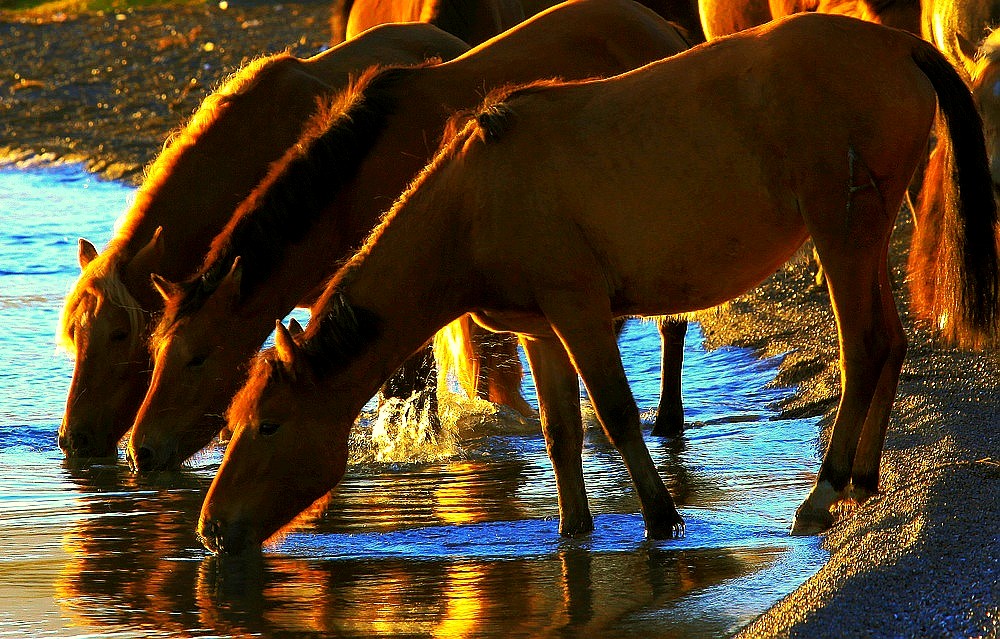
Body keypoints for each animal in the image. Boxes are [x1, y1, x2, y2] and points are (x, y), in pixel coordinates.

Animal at [125, 0, 696, 472]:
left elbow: (410, 389)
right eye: (155, 355)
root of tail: (662, 27)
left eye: (198, 357)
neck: (356, 179)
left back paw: (668, 419)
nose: (141, 450)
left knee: (672, 323)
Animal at [197, 13, 1000, 556]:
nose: (208, 528)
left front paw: (661, 518)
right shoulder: (540, 328)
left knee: (863, 348)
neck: (473, 198)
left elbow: (613, 413)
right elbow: (560, 434)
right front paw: (574, 533)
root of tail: (894, 44)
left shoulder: (579, 308)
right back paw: (862, 477)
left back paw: (824, 491)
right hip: (863, 233)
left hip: (843, 232)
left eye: (267, 423)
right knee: (889, 343)